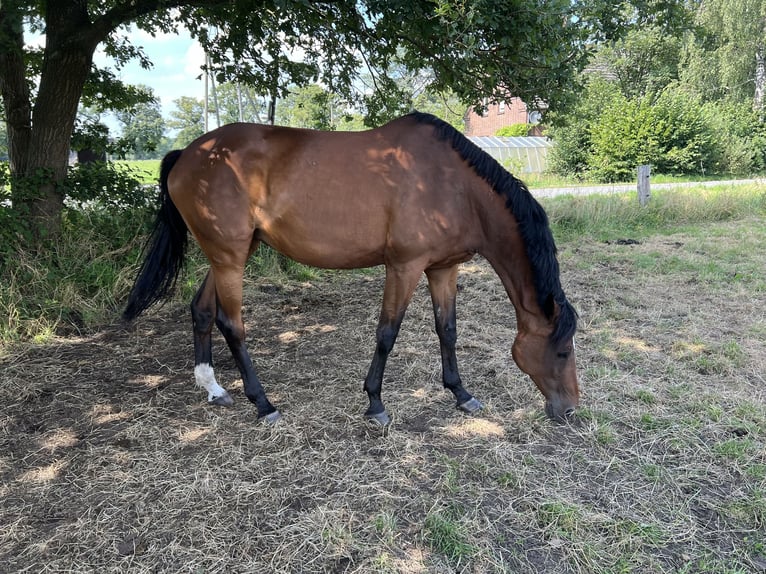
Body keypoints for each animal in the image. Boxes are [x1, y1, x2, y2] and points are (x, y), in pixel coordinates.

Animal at [123, 112, 580, 428]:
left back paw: (213, 388)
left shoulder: (442, 269)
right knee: (230, 324)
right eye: (562, 350)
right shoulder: (403, 267)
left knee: (202, 310)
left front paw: (461, 393)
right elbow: (387, 334)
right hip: (230, 258)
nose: (571, 410)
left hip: (229, 255)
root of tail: (188, 154)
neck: (453, 185)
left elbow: (447, 330)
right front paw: (375, 404)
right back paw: (263, 404)